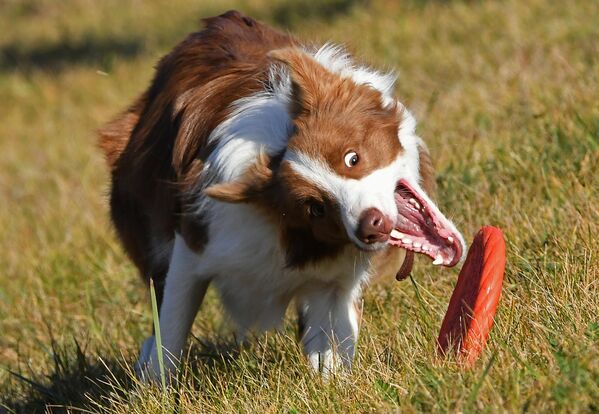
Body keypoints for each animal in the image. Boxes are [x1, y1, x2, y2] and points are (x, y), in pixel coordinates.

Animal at [98, 9, 466, 380]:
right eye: (315, 208)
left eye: (352, 158)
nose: (369, 225)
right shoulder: (196, 244)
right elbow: (171, 329)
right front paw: (156, 386)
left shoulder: (334, 281)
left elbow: (332, 342)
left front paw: (333, 381)